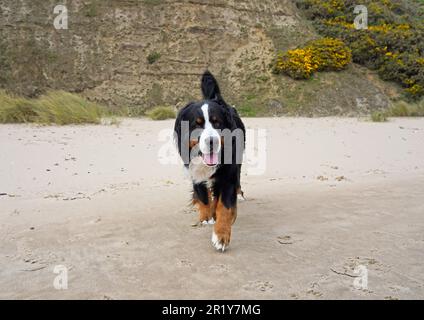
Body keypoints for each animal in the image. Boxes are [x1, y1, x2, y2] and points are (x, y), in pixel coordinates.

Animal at [175, 70, 247, 252]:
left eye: (217, 122)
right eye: (197, 124)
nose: (211, 141)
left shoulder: (228, 175)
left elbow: (225, 206)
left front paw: (221, 236)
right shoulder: (194, 170)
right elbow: (202, 194)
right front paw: (206, 216)